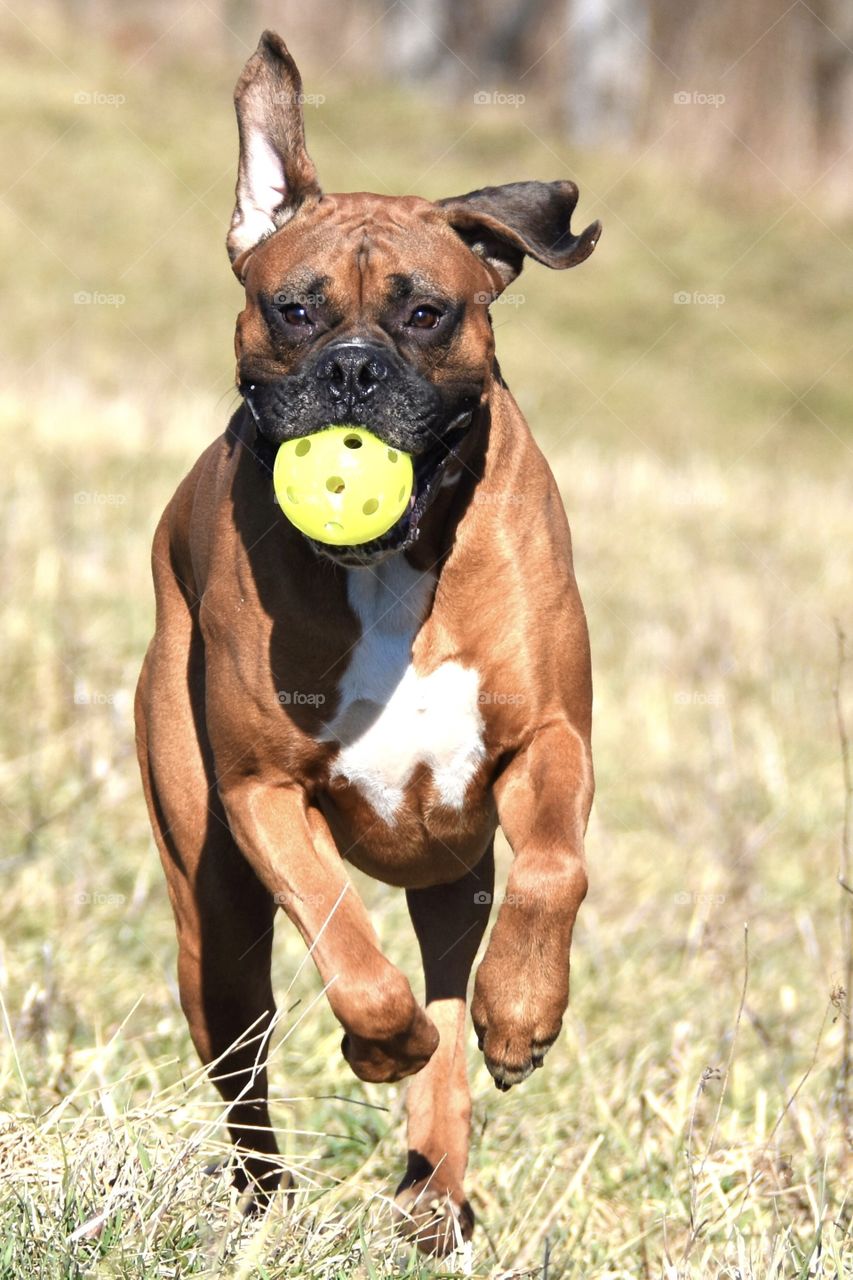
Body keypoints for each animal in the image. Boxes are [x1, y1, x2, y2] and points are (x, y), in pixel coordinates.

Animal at [134, 35, 596, 1254]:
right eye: (293, 308)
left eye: (427, 313)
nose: (350, 367)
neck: (395, 568)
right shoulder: (261, 793)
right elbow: (343, 934)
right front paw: (376, 1040)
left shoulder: (548, 741)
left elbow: (555, 869)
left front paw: (523, 1014)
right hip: (214, 933)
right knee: (249, 1075)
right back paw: (271, 1206)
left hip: (451, 881)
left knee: (449, 1011)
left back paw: (434, 1187)